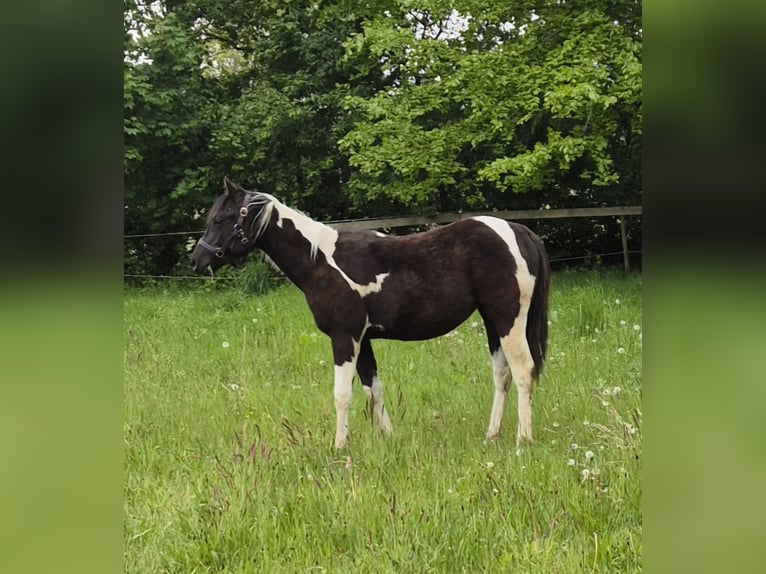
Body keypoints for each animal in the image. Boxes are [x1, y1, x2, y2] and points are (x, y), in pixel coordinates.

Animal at [191, 177, 550, 449]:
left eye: (220, 219)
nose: (197, 259)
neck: (320, 260)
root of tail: (519, 231)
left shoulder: (344, 337)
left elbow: (342, 395)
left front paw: (339, 446)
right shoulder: (363, 340)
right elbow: (373, 390)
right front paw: (387, 438)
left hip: (508, 320)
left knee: (522, 371)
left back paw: (523, 439)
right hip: (492, 321)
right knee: (502, 374)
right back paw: (492, 435)